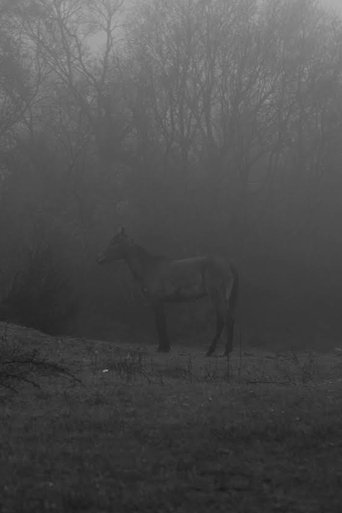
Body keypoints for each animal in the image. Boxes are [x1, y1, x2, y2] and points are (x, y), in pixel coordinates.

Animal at [97, 226, 239, 358]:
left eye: (115, 242)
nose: (100, 259)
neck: (149, 268)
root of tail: (227, 263)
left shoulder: (156, 300)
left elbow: (159, 323)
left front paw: (162, 348)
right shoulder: (160, 301)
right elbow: (162, 322)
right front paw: (166, 347)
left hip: (217, 296)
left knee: (223, 319)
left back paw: (213, 350)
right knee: (229, 319)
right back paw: (227, 350)